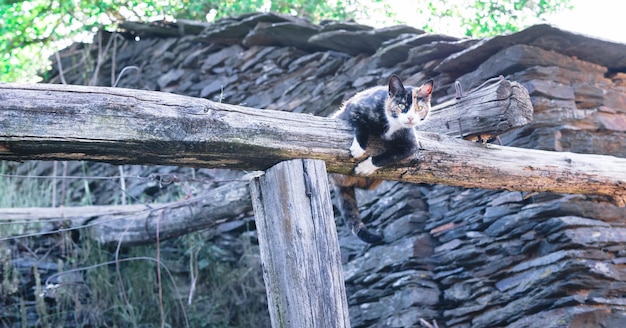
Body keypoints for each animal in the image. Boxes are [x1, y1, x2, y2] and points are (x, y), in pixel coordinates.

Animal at [330, 75, 432, 243]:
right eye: (401, 105)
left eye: (419, 108)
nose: (410, 118)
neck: (392, 124)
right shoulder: (355, 107)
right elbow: (362, 125)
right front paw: (359, 148)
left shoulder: (411, 146)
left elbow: (390, 156)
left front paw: (365, 167)